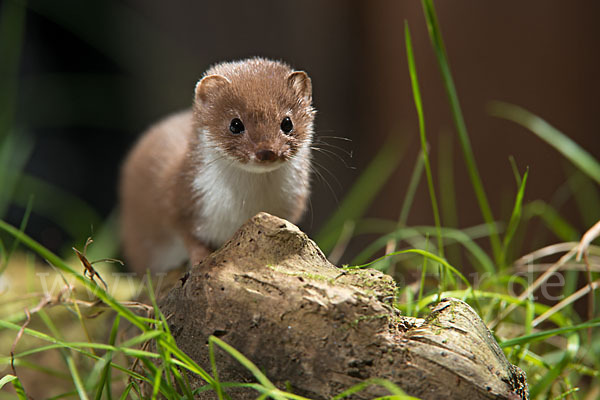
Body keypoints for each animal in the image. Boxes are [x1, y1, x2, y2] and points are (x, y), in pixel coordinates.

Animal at [117, 57, 314, 274]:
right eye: (235, 124)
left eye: (287, 122)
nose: (267, 151)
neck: (246, 205)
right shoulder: (180, 199)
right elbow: (187, 235)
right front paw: (199, 258)